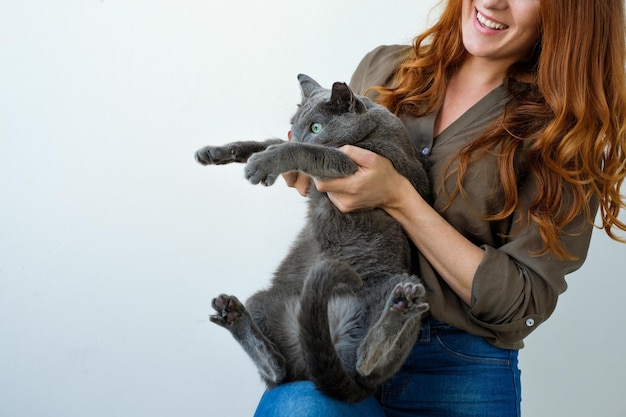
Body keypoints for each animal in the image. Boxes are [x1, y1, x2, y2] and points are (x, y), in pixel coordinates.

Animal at [195, 75, 428, 404]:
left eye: (316, 127)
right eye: (294, 125)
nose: (300, 133)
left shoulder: (365, 165)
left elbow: (306, 151)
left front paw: (261, 164)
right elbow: (271, 143)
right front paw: (216, 152)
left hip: (401, 283)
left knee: (365, 365)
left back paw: (400, 307)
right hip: (265, 301)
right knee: (279, 370)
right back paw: (233, 316)